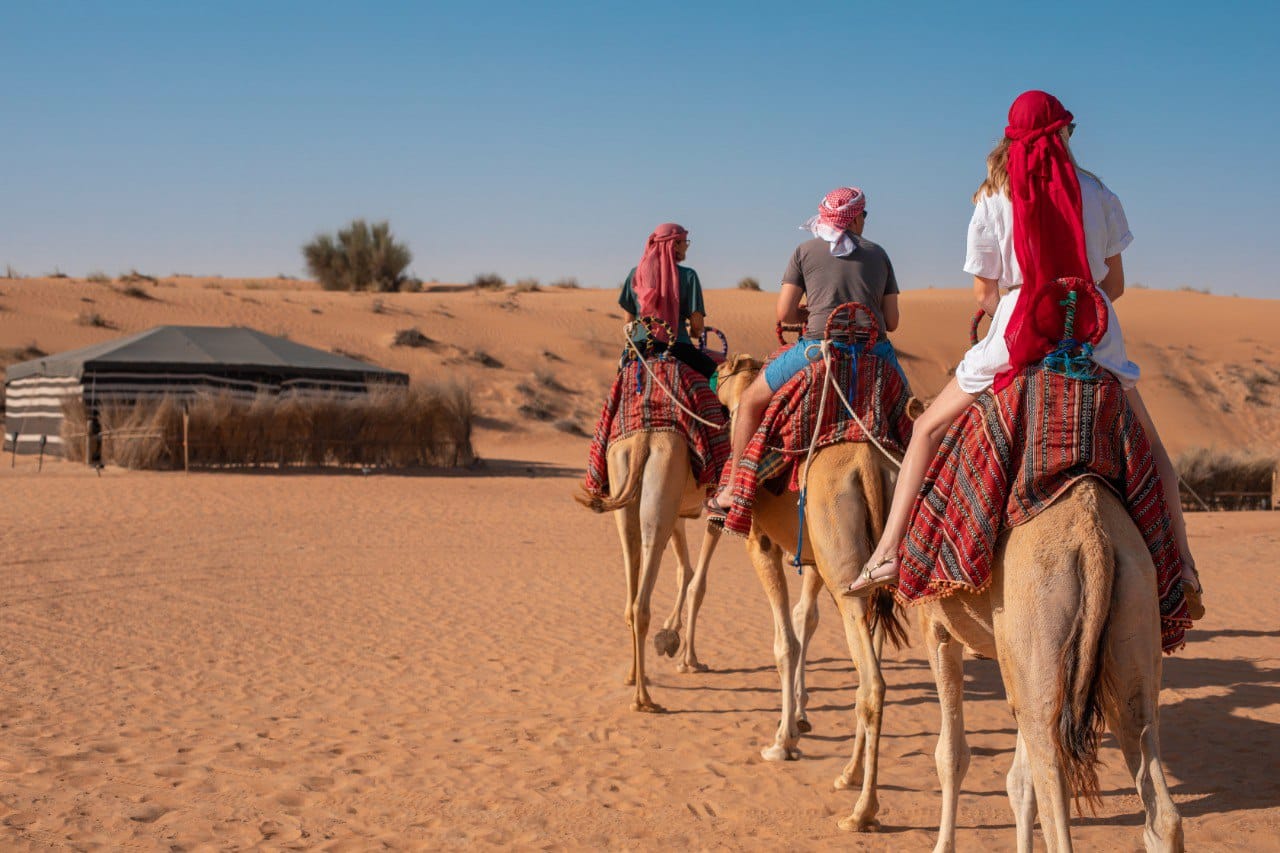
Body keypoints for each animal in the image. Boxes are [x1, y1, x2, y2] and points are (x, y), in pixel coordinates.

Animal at [577, 430, 722, 712]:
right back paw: (643, 700)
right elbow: (697, 584)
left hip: (627, 494)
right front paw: (690, 660)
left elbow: (685, 571)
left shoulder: (681, 511)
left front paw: (671, 635)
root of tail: (643, 440)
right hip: (662, 489)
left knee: (630, 598)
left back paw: (634, 676)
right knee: (641, 605)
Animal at [715, 354, 907, 832]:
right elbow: (806, 622)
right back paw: (849, 775)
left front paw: (783, 741)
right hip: (872, 575)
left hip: (843, 568)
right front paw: (800, 720)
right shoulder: (815, 561)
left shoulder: (761, 543)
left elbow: (785, 642)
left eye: (721, 372)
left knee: (872, 685)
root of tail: (870, 467)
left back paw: (862, 811)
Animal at [918, 477, 1184, 852]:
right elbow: (1020, 781)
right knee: (1152, 775)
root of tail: (1092, 536)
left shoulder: (936, 627)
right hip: (1135, 600)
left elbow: (951, 755)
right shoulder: (1016, 660)